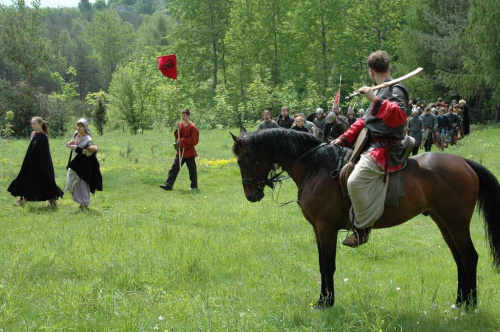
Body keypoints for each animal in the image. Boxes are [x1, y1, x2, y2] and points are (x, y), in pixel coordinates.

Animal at [231, 127, 500, 308]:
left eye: (242, 160)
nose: (250, 195)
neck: (316, 167)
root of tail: (463, 163)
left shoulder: (326, 228)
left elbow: (327, 264)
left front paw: (326, 302)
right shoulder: (318, 229)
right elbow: (321, 264)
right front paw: (324, 300)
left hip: (456, 224)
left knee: (469, 257)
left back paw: (469, 306)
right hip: (443, 223)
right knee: (459, 259)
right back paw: (460, 302)